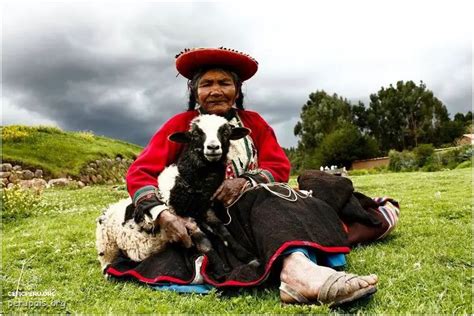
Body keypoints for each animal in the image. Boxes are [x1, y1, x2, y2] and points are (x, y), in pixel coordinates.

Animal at [96, 113, 258, 274]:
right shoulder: (184, 220)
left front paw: (249, 257)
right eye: (195, 134)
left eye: (225, 133)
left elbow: (224, 232)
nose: (213, 147)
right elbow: (204, 243)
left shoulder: (206, 210)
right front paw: (220, 269)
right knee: (107, 262)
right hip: (107, 246)